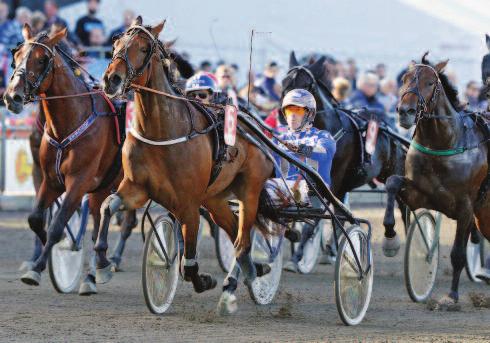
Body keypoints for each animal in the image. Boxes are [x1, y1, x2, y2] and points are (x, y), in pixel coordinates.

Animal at [2, 24, 136, 296]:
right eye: (16, 55)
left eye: (41, 60)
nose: (13, 97)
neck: (70, 121)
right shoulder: (50, 180)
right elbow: (36, 219)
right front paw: (58, 245)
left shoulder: (79, 181)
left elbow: (57, 223)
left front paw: (38, 267)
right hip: (103, 186)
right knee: (99, 220)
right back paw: (97, 269)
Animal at [99, 18, 278, 314]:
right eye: (115, 44)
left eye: (144, 48)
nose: (111, 79)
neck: (163, 132)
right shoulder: (136, 188)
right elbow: (107, 206)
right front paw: (102, 263)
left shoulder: (188, 203)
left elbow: (189, 262)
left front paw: (203, 280)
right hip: (215, 199)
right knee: (234, 232)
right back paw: (253, 270)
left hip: (250, 190)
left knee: (242, 240)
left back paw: (244, 278)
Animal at [284, 53, 410, 253]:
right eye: (284, 82)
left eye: (306, 85)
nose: (286, 114)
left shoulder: (333, 179)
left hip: (393, 171)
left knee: (402, 206)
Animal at [382, 55, 490, 308]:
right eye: (404, 79)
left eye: (431, 83)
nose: (405, 111)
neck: (443, 144)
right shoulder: (419, 194)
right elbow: (392, 182)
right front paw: (390, 238)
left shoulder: (466, 208)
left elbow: (458, 254)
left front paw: (451, 297)